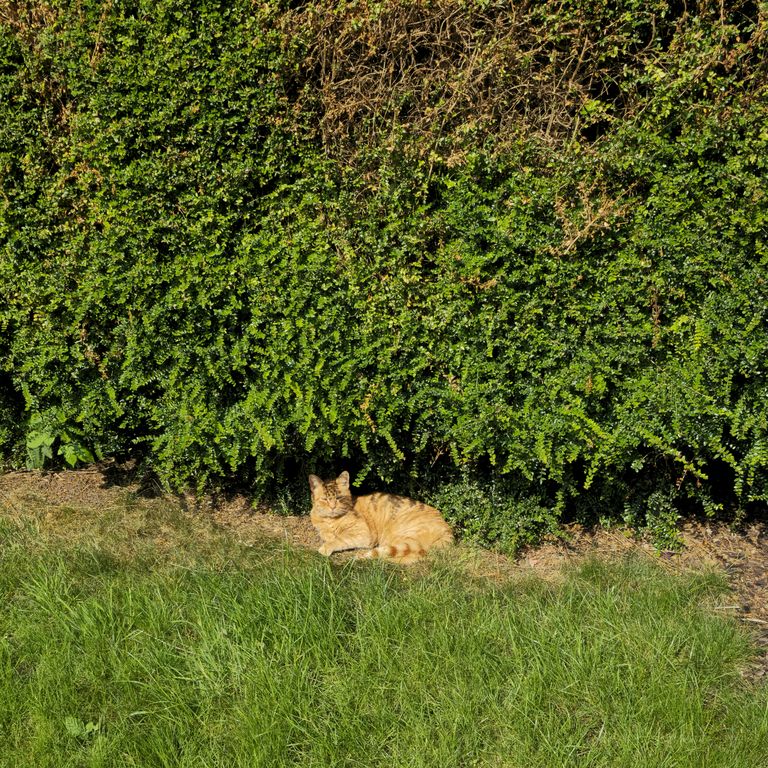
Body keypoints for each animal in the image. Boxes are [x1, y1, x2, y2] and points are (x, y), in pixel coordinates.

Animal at [308, 471, 453, 564]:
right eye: (325, 499)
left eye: (339, 498)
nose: (332, 507)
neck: (330, 520)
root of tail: (448, 529)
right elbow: (329, 535)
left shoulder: (363, 534)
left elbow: (339, 539)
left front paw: (325, 547)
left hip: (405, 537)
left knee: (416, 554)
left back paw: (363, 556)